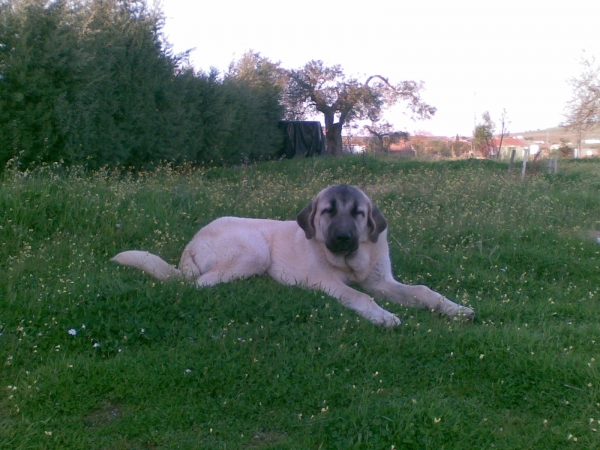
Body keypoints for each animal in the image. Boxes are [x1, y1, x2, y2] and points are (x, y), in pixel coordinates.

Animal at [112, 183, 476, 326]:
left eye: (358, 213)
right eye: (328, 211)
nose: (343, 238)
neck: (350, 262)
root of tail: (190, 244)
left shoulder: (382, 282)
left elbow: (423, 291)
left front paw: (455, 308)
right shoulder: (328, 282)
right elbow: (360, 297)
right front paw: (382, 316)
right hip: (254, 252)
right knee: (201, 284)